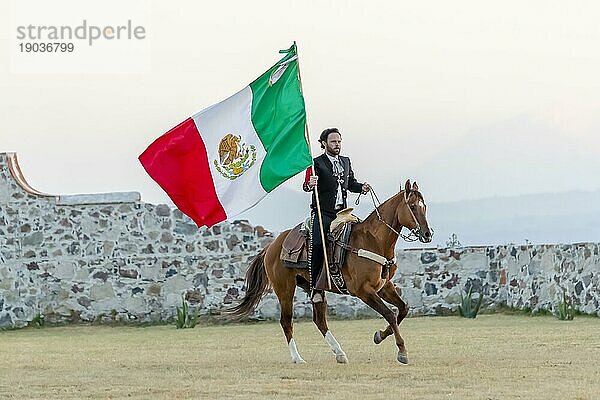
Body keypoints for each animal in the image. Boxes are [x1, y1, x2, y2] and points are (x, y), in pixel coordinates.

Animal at [224, 180, 432, 364]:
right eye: (413, 206)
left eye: (425, 207)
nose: (428, 234)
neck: (372, 240)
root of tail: (272, 246)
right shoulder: (364, 291)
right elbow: (389, 314)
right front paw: (401, 351)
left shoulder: (384, 287)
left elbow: (402, 309)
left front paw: (380, 335)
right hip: (285, 290)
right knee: (286, 321)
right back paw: (297, 358)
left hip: (314, 288)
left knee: (319, 320)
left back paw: (339, 353)